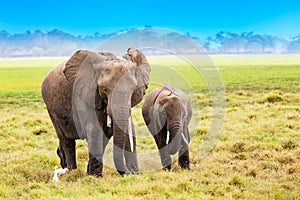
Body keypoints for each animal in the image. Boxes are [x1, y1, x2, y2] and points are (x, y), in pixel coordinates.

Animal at [42, 47, 150, 176]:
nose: (129, 172)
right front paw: (95, 176)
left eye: (133, 90)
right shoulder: (84, 94)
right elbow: (94, 128)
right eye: (104, 89)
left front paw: (135, 173)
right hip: (52, 108)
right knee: (66, 139)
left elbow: (126, 128)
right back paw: (71, 171)